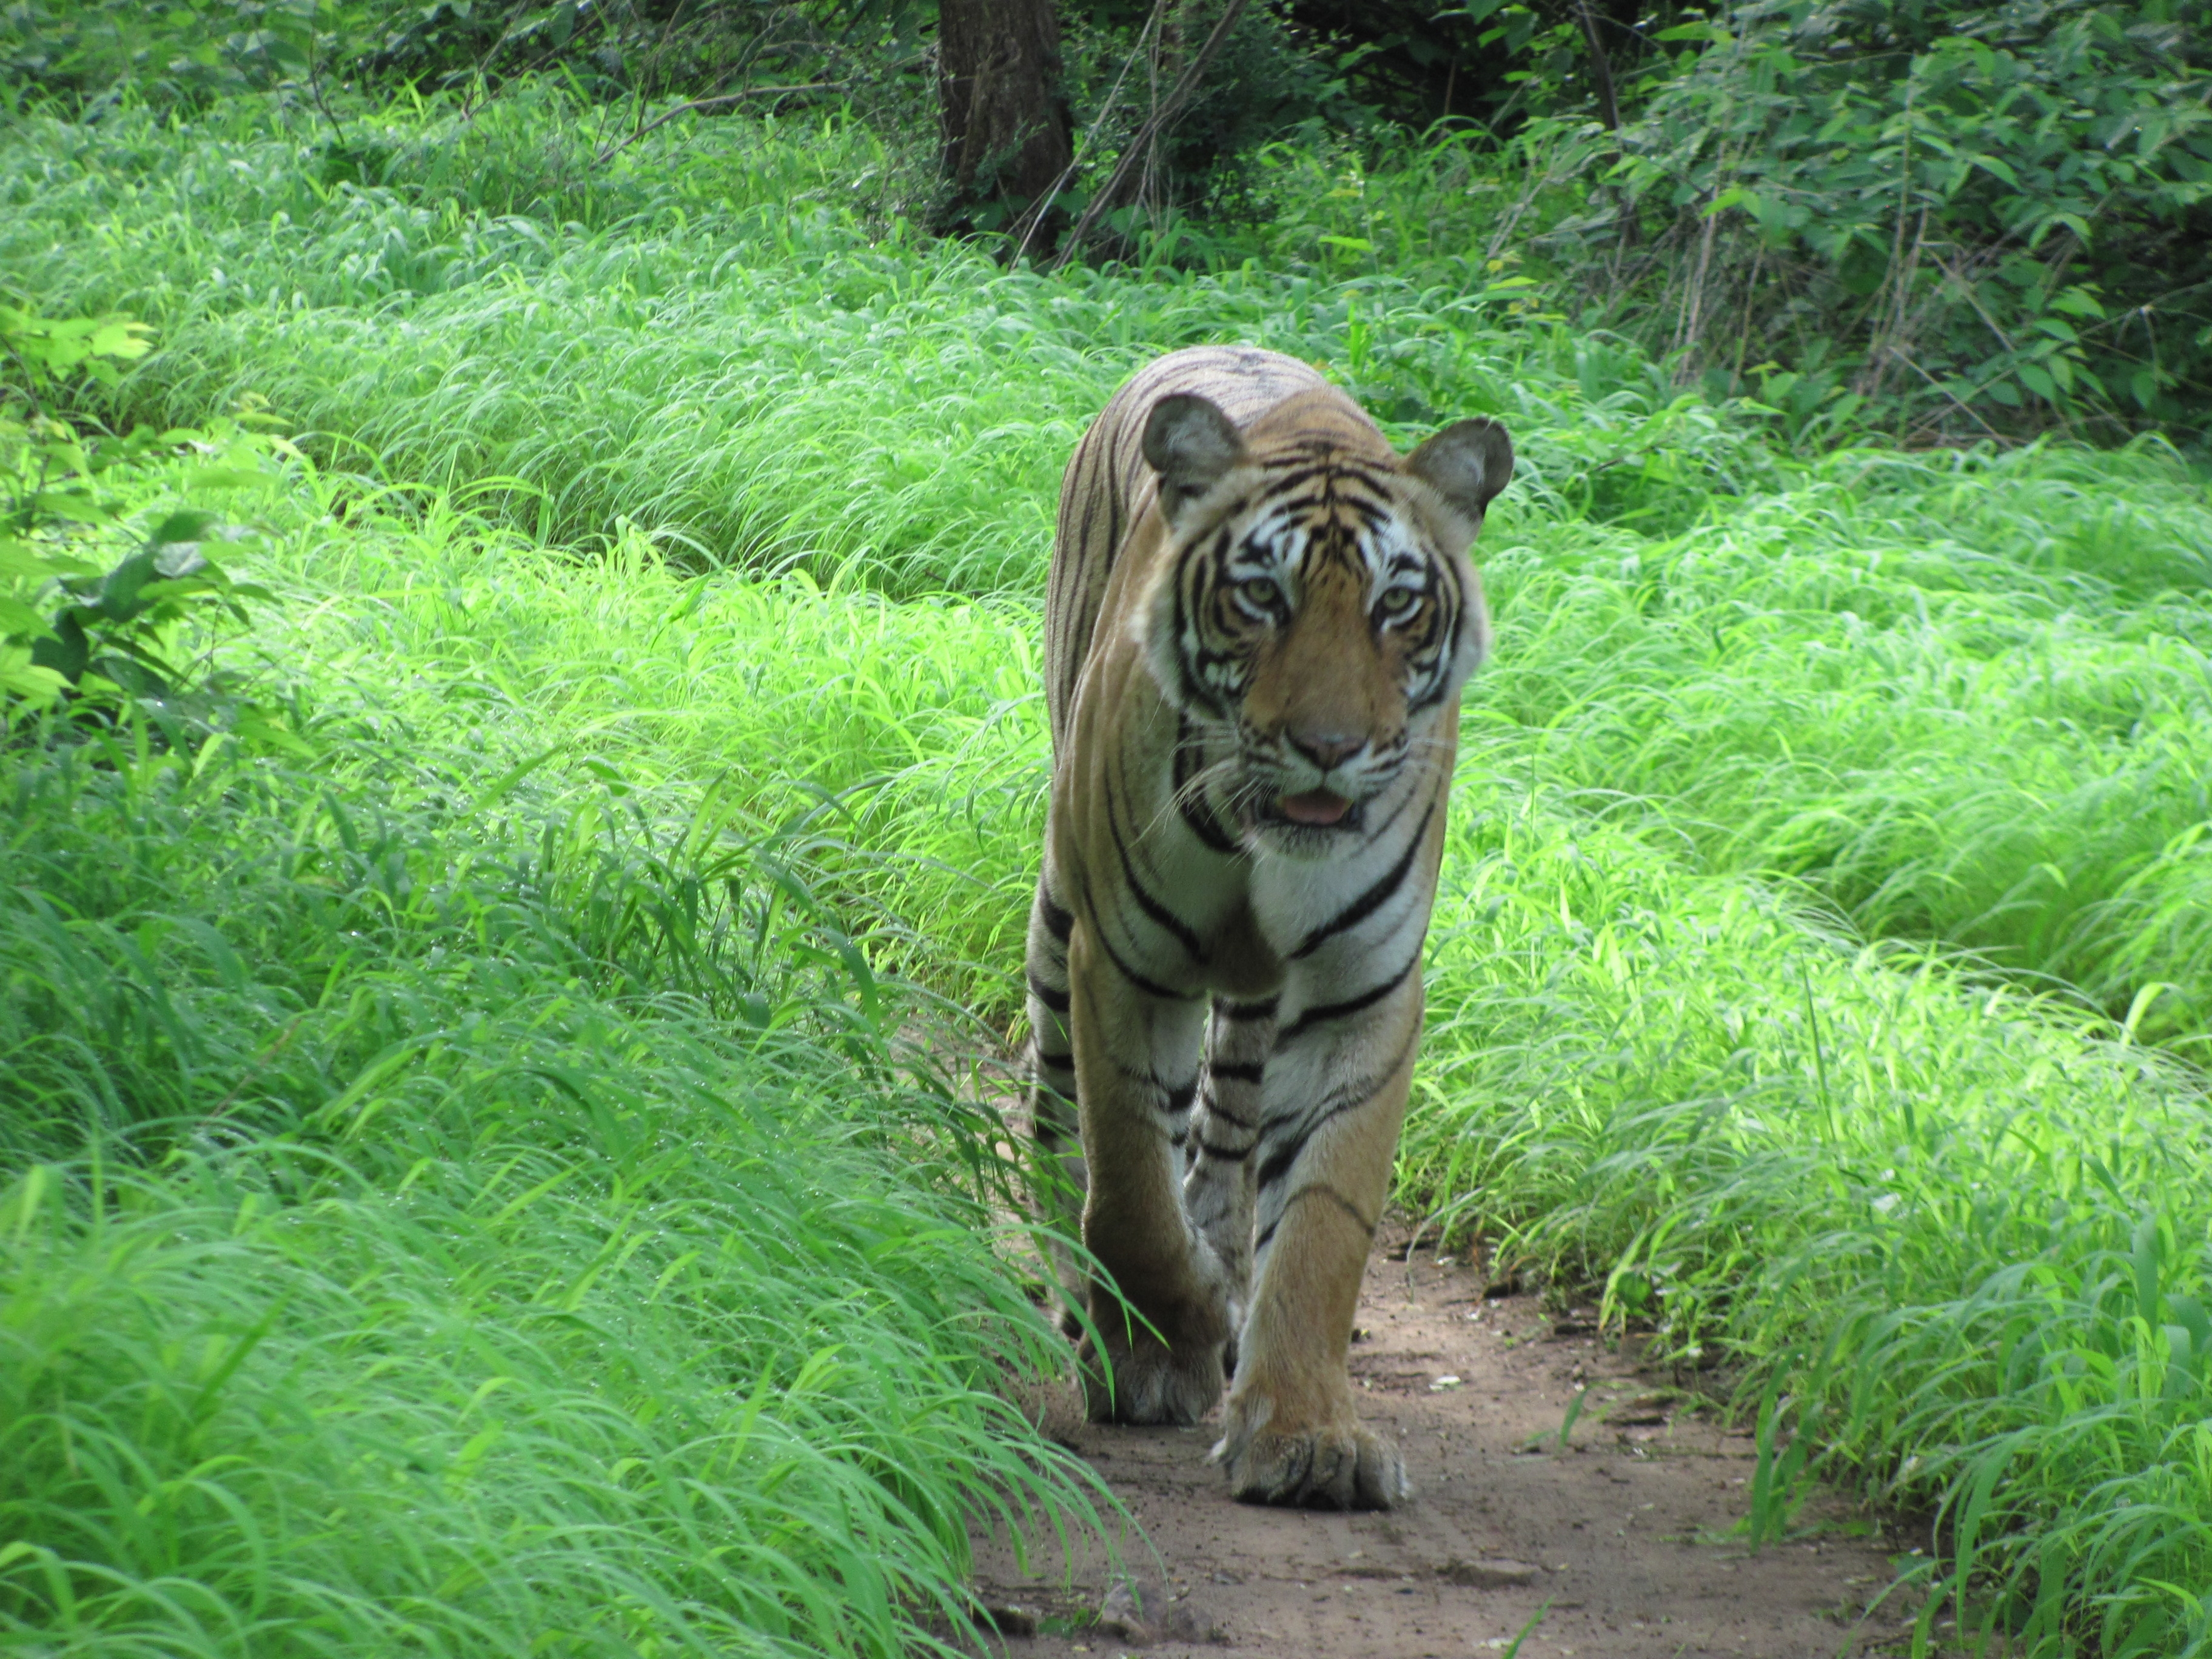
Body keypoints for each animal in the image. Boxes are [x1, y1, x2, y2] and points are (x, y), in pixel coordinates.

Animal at [1023, 344, 1512, 1510]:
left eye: (1396, 605)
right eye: (1260, 596)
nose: (1329, 749)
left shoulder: (1358, 993)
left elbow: (1323, 1224)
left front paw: (1303, 1433)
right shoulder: (1122, 962)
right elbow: (1129, 1193)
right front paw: (1164, 1342)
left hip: (1251, 1002)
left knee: (1227, 1137)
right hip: (1059, 908)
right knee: (1057, 1126)